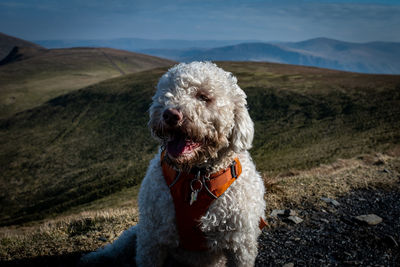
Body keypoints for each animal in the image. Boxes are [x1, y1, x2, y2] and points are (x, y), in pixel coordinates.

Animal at [79, 62, 266, 267]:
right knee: (115, 249)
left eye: (203, 97)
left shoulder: (240, 243)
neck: (195, 177)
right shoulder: (152, 238)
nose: (170, 115)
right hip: (134, 234)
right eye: (167, 93)